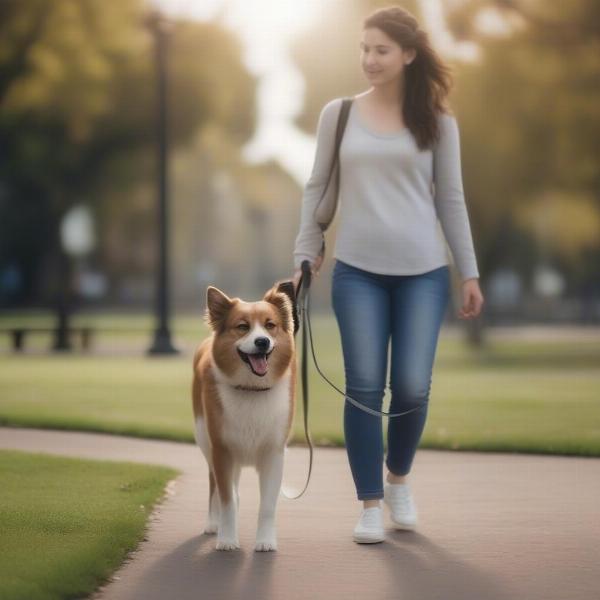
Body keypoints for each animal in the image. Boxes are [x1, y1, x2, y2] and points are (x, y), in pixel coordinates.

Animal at [191, 284, 296, 552]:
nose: (262, 341)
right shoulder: (222, 451)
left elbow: (267, 506)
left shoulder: (273, 454)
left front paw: (266, 541)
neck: (251, 389)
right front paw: (227, 539)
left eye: (270, 325)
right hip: (205, 441)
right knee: (215, 487)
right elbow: (227, 500)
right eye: (242, 327)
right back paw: (213, 524)